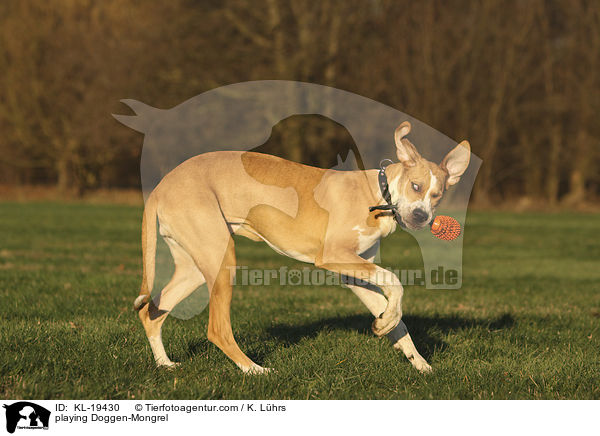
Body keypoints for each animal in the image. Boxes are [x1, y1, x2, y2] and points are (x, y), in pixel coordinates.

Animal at [134, 121, 472, 372]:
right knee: (217, 329)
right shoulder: (335, 256)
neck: (378, 195)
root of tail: (162, 185)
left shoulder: (355, 272)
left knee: (152, 312)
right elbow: (395, 281)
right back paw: (254, 369)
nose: (421, 217)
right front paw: (389, 324)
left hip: (194, 266)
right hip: (221, 258)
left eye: (437, 195)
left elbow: (396, 316)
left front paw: (416, 358)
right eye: (415, 186)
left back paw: (165, 364)